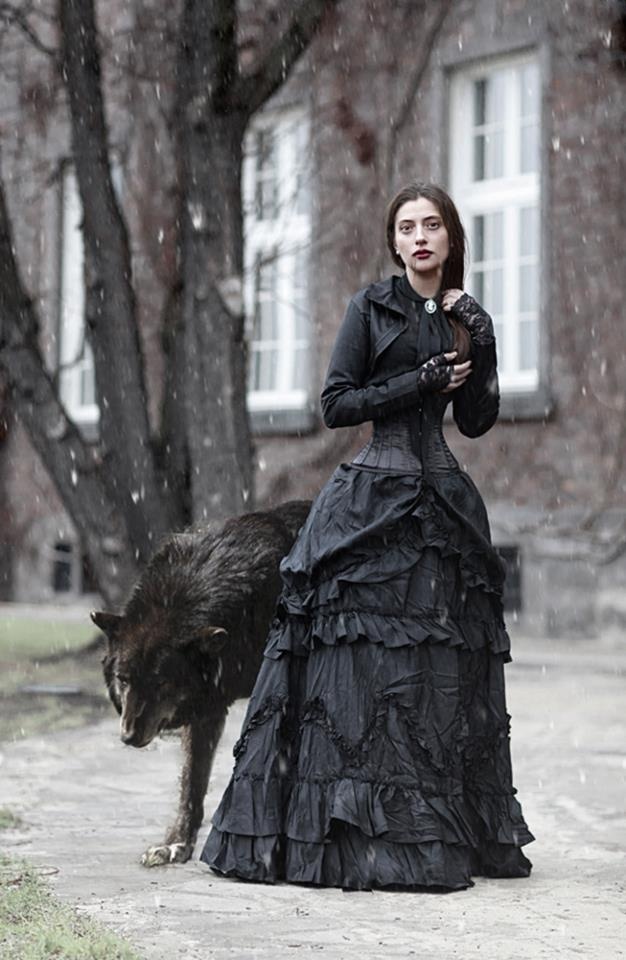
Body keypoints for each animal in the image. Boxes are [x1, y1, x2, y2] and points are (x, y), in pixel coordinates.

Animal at [90, 498, 310, 868]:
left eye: (162, 684)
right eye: (124, 679)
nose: (129, 737)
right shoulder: (208, 708)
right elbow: (192, 782)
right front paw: (177, 844)